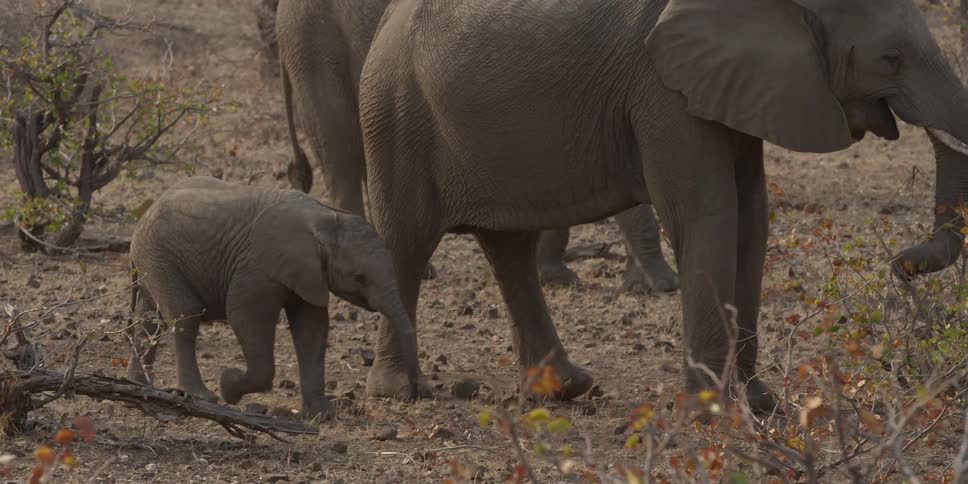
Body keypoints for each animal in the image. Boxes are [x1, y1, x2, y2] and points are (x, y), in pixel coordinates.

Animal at [125, 176, 418, 419]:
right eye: (360, 278)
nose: (413, 394)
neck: (326, 219)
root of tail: (147, 212)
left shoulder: (309, 275)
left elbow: (311, 327)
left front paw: (322, 416)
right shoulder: (259, 267)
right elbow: (244, 315)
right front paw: (228, 384)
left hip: (153, 261)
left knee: (148, 320)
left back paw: (138, 386)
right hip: (161, 257)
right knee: (185, 315)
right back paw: (203, 396)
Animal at [355, 0, 968, 411]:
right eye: (891, 58)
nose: (900, 266)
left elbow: (753, 219)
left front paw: (764, 407)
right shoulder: (663, 89)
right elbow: (708, 214)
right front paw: (710, 414)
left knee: (509, 249)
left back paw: (566, 389)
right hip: (395, 113)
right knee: (407, 241)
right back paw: (400, 392)